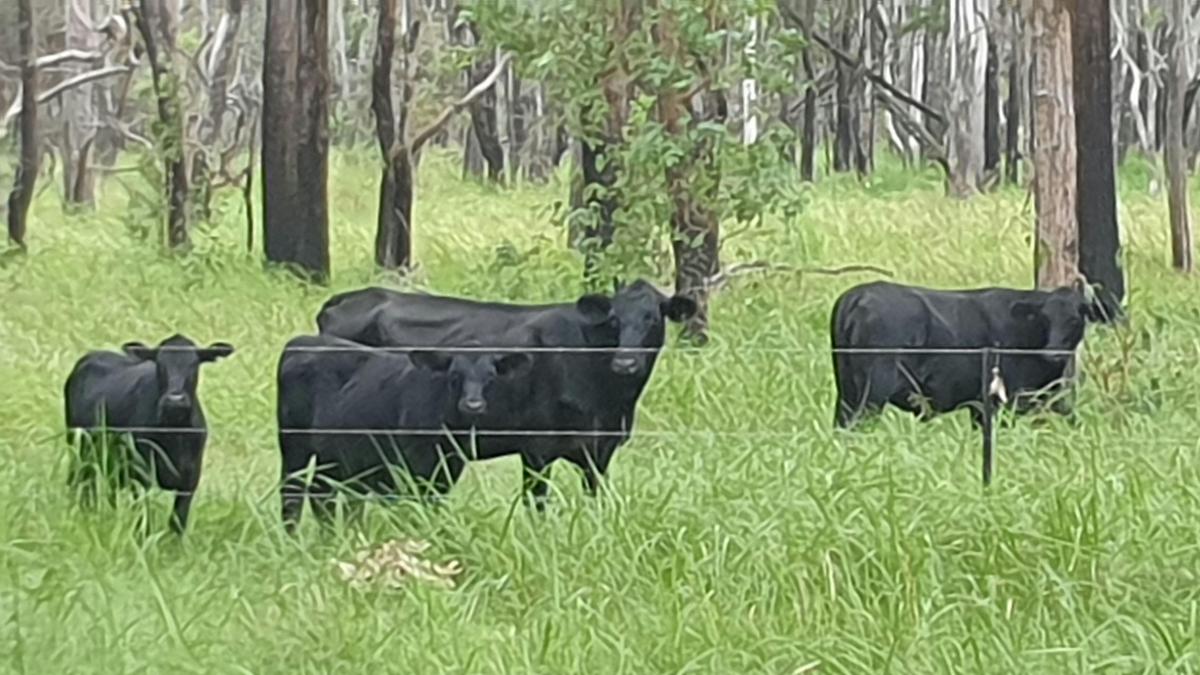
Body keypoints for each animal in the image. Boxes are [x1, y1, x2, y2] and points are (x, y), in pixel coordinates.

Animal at [64, 335, 235, 533]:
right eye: (159, 364)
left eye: (194, 364)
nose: (175, 399)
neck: (174, 432)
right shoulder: (140, 475)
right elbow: (144, 519)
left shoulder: (190, 479)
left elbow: (177, 523)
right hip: (78, 446)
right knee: (81, 481)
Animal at [276, 334, 533, 530]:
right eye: (454, 375)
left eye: (490, 376)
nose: (473, 405)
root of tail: (302, 340)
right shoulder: (413, 466)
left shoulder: (447, 469)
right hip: (293, 446)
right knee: (292, 494)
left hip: (334, 455)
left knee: (321, 493)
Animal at [831, 280, 1100, 429]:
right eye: (1044, 318)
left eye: (1075, 319)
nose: (1053, 352)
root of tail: (857, 296)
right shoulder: (1004, 401)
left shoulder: (979, 406)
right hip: (873, 392)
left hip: (847, 392)